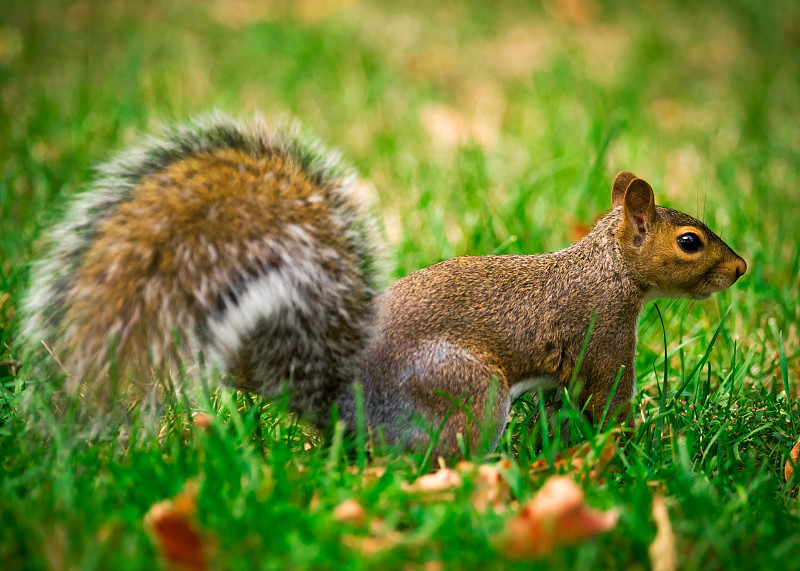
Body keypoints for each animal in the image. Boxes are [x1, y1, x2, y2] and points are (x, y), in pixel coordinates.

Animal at [17, 115, 744, 456]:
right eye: (690, 241)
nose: (741, 269)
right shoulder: (603, 337)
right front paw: (630, 450)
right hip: (469, 390)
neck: (607, 268)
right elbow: (607, 405)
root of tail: (342, 402)